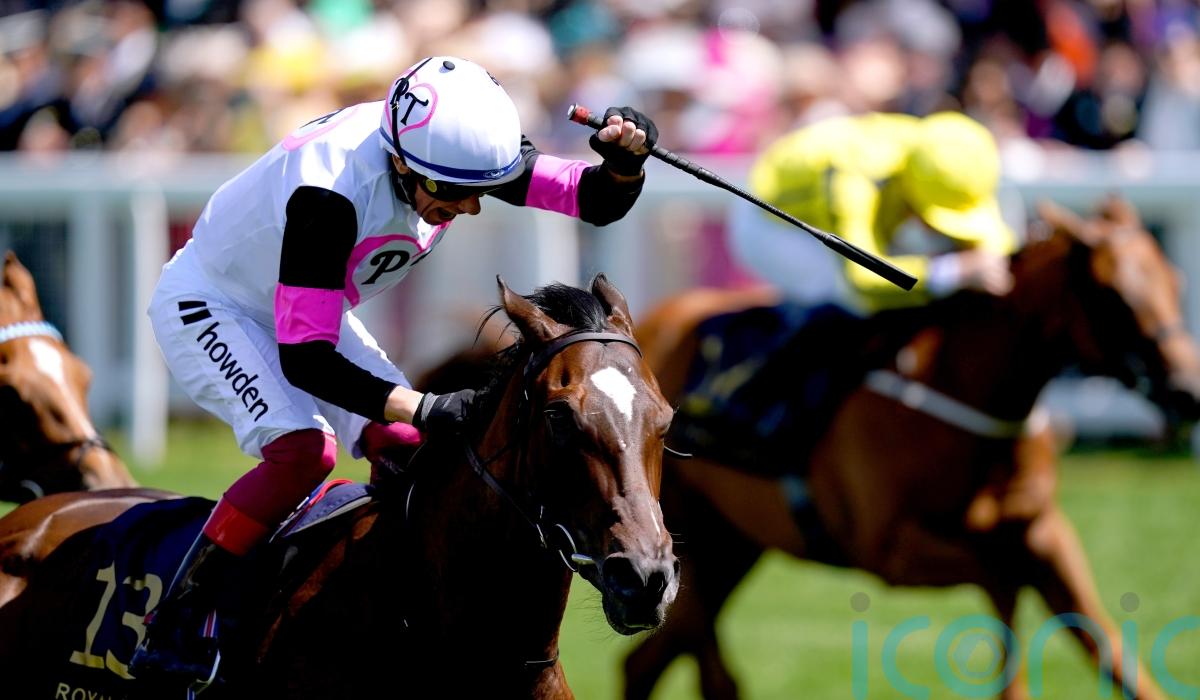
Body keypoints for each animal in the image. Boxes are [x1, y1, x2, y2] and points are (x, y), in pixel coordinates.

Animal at [623, 197, 1200, 700]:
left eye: (1174, 281)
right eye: (1113, 295)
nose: (1188, 391)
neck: (961, 384)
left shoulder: (1044, 531)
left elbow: (1113, 654)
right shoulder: (892, 551)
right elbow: (1004, 588)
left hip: (732, 544)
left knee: (653, 662)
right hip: (686, 540)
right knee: (694, 668)